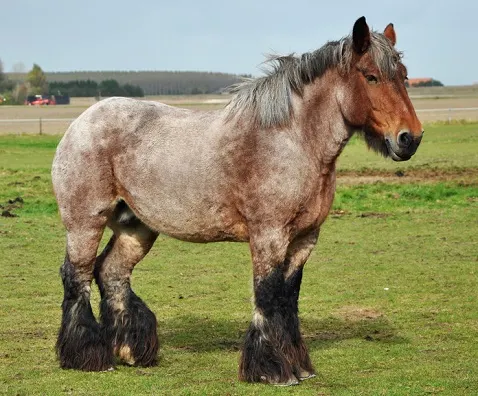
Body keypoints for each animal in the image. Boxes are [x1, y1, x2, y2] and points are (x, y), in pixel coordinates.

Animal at [51, 17, 422, 386]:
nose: (410, 138)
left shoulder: (304, 239)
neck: (291, 141)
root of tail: (80, 123)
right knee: (77, 276)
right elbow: (268, 294)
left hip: (136, 228)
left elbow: (289, 298)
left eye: (403, 75)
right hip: (85, 223)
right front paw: (273, 369)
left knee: (112, 273)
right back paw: (87, 356)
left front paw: (299, 365)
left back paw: (128, 351)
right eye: (371, 76)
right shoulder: (269, 235)